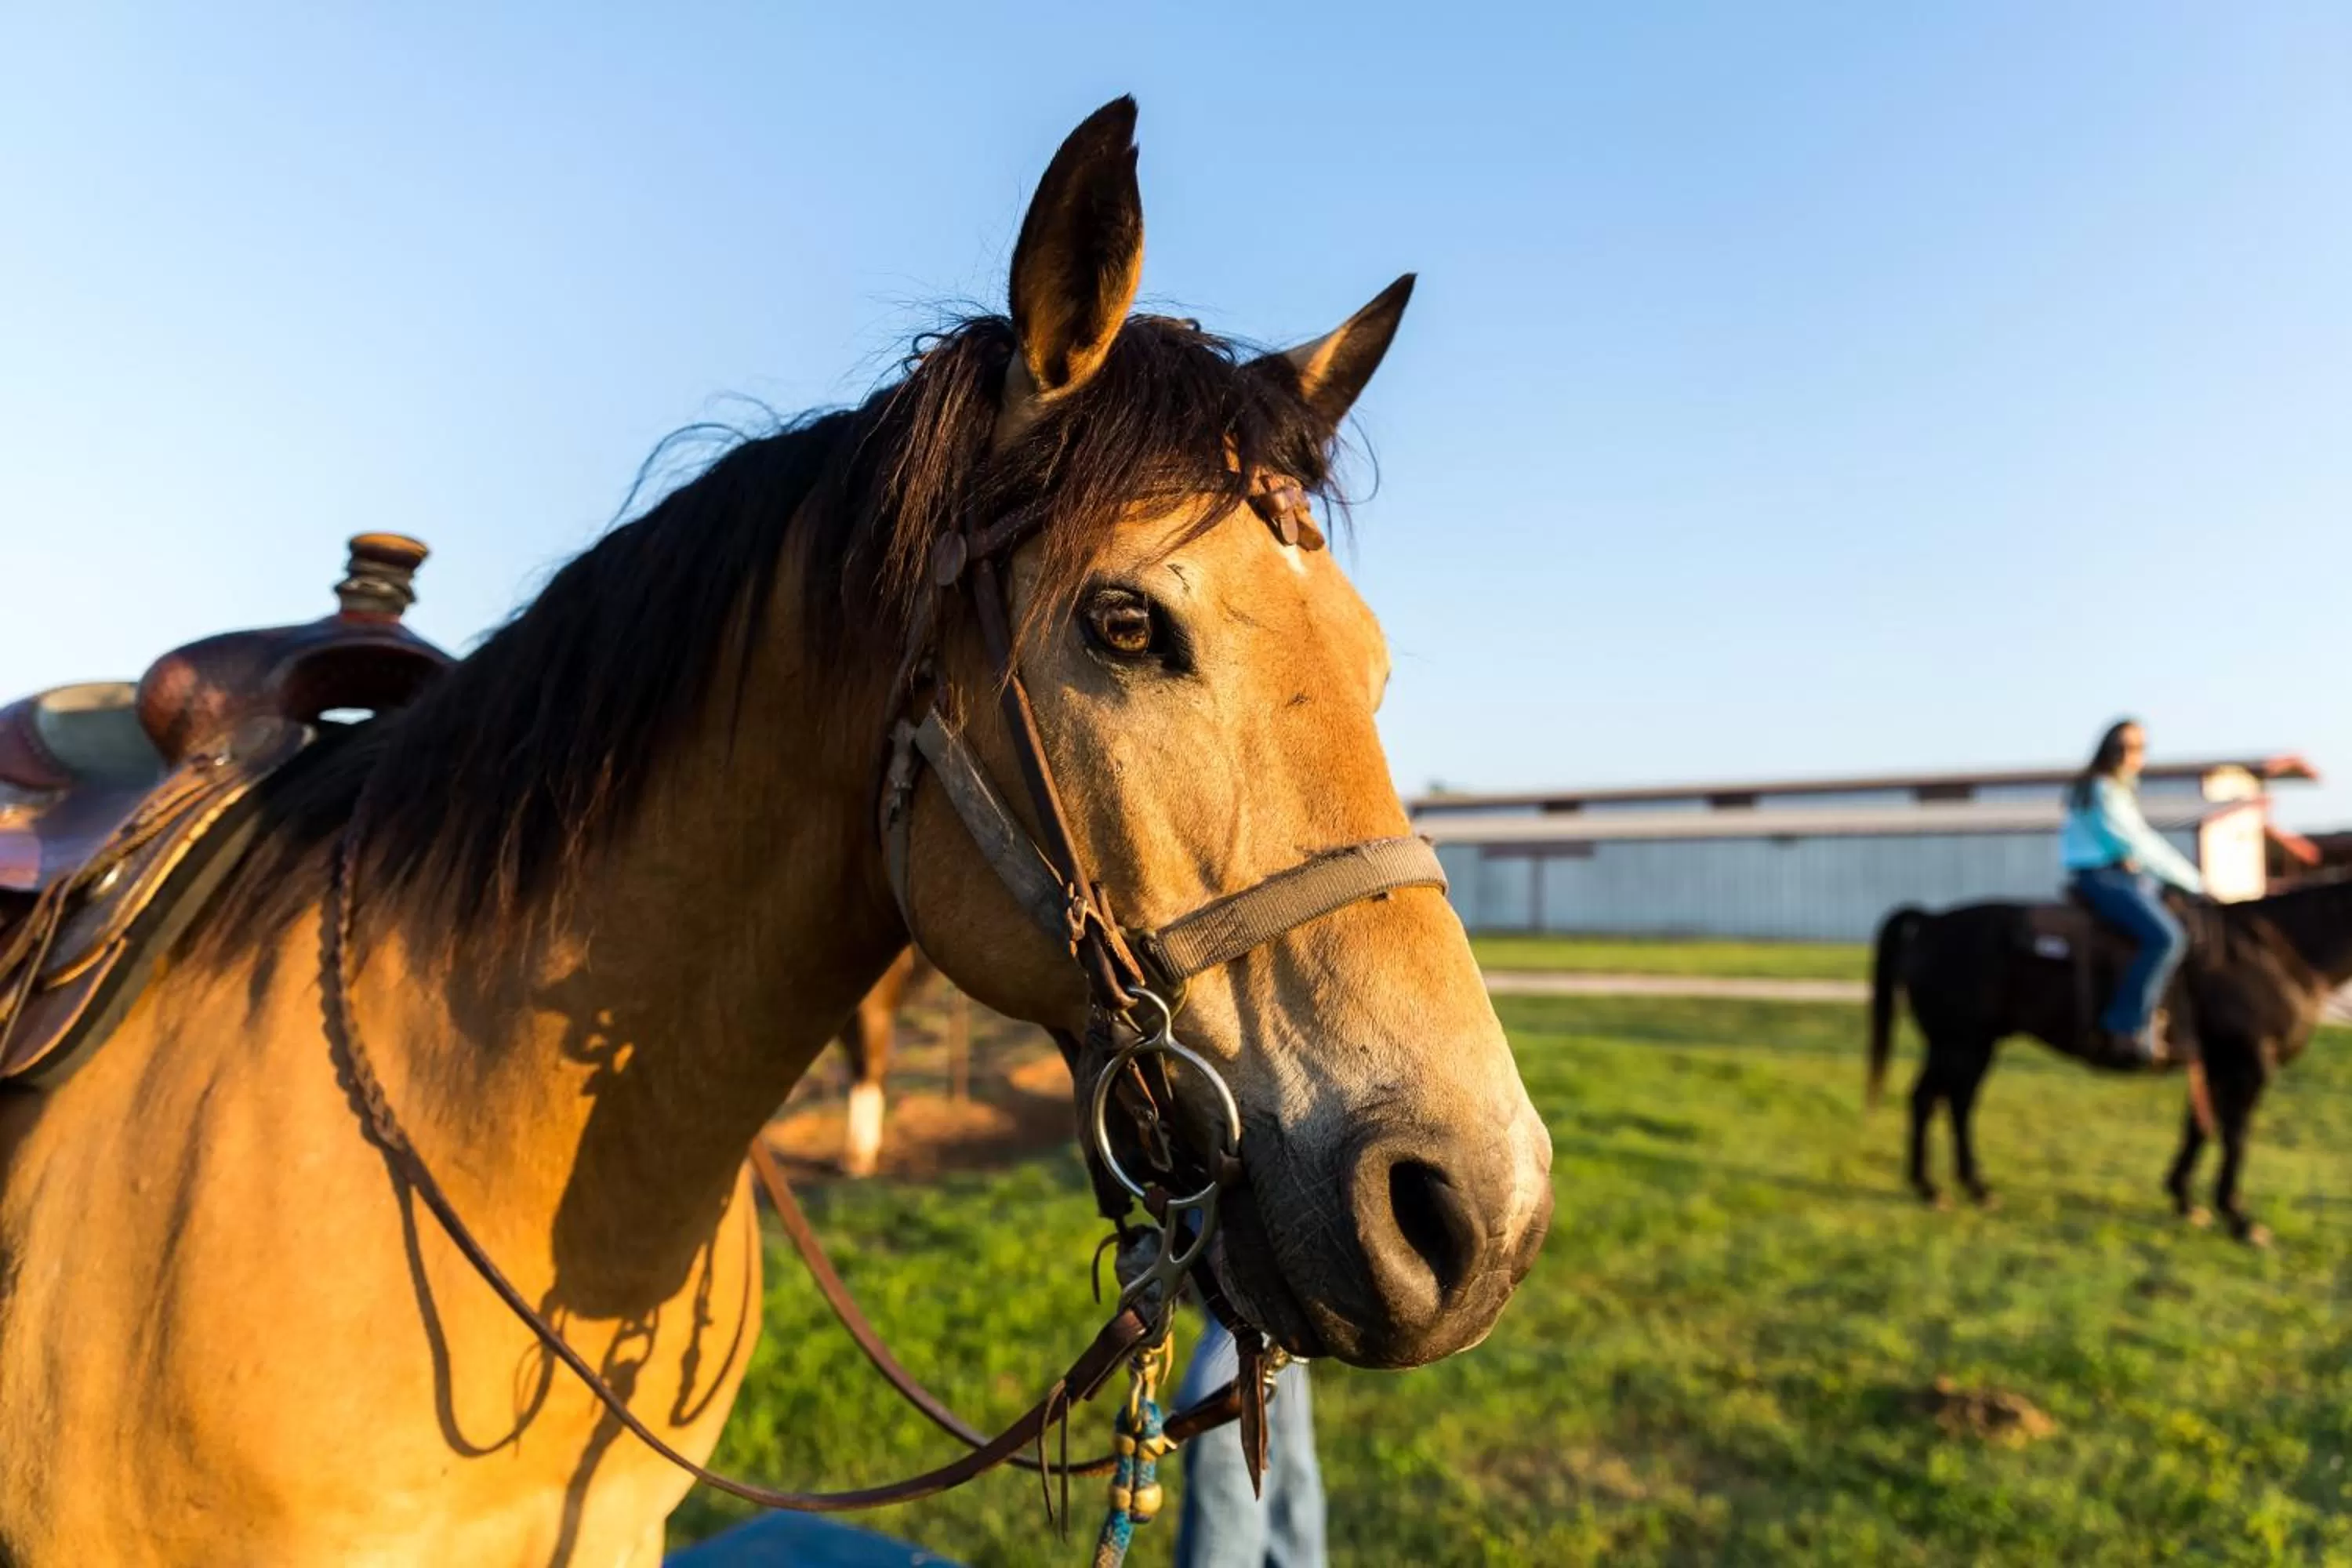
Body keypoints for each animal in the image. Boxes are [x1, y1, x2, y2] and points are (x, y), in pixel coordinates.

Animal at [1868, 875, 2352, 1240]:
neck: (2276, 953)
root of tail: (1932, 922)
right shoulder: (2247, 1066)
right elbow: (2236, 1138)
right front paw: (2240, 1219)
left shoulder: (2215, 1065)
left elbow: (2197, 1127)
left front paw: (2184, 1199)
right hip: (1959, 1044)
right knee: (1936, 1102)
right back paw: (1935, 1189)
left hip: (1969, 1045)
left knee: (1949, 1103)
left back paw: (1967, 1187)